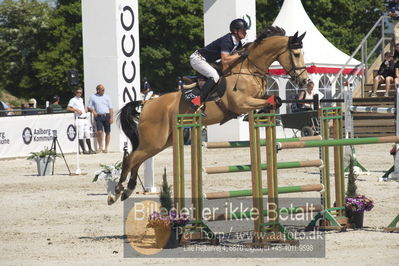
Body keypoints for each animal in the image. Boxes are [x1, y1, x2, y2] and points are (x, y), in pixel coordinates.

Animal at [111, 26, 310, 204]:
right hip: (154, 141)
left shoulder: (257, 97)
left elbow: (275, 100)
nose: (305, 81)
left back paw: (128, 190)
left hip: (161, 143)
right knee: (130, 158)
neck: (249, 69)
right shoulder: (240, 103)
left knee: (138, 159)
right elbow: (267, 102)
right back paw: (116, 192)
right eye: (296, 54)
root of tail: (147, 103)